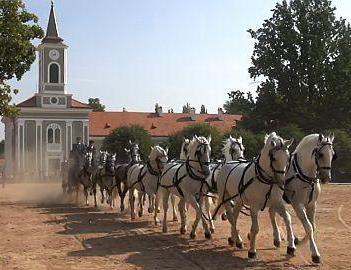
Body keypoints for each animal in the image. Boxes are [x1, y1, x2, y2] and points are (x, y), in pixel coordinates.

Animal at [270, 133, 336, 264]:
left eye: (333, 154)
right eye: (320, 154)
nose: (326, 177)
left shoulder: (311, 204)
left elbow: (312, 227)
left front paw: (298, 241)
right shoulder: (298, 205)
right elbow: (308, 227)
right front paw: (315, 254)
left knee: (273, 213)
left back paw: (282, 240)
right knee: (274, 215)